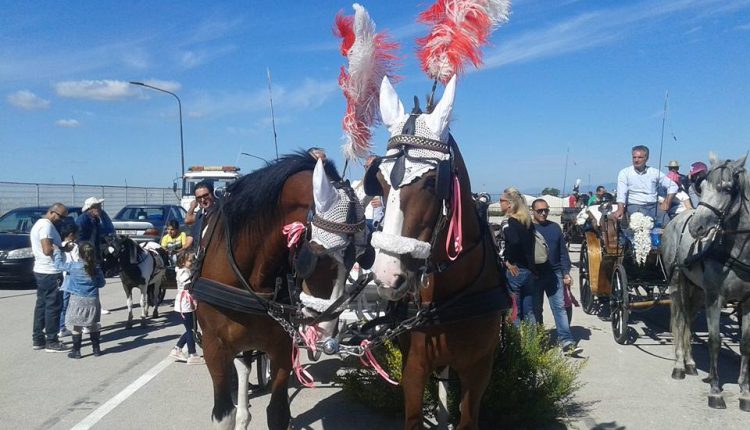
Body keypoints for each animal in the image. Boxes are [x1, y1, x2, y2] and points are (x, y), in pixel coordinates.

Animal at [192, 155, 372, 430]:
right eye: (316, 256)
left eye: (362, 256)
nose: (326, 329)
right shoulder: (215, 349)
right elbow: (223, 415)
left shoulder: (282, 348)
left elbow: (278, 413)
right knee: (242, 368)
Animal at [368, 75, 516, 428]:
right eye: (379, 180)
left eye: (432, 180)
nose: (386, 276)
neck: (450, 297)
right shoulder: (414, 366)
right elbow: (412, 416)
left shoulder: (479, 370)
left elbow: (467, 418)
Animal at [664, 154, 750, 410]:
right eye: (701, 188)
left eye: (728, 188)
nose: (696, 227)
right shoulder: (715, 297)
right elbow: (714, 341)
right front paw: (715, 392)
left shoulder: (747, 301)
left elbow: (745, 344)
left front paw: (744, 393)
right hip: (677, 283)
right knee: (679, 321)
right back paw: (679, 366)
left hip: (697, 290)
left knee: (688, 323)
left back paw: (691, 363)